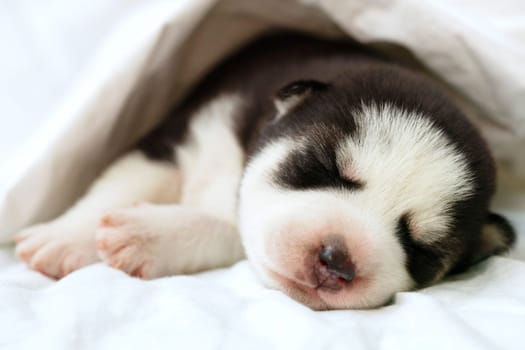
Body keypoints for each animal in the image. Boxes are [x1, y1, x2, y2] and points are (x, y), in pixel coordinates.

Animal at [13, 33, 516, 308]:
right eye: (319, 167)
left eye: (422, 252)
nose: (337, 262)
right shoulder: (178, 138)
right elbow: (117, 183)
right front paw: (62, 237)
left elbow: (230, 227)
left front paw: (145, 234)